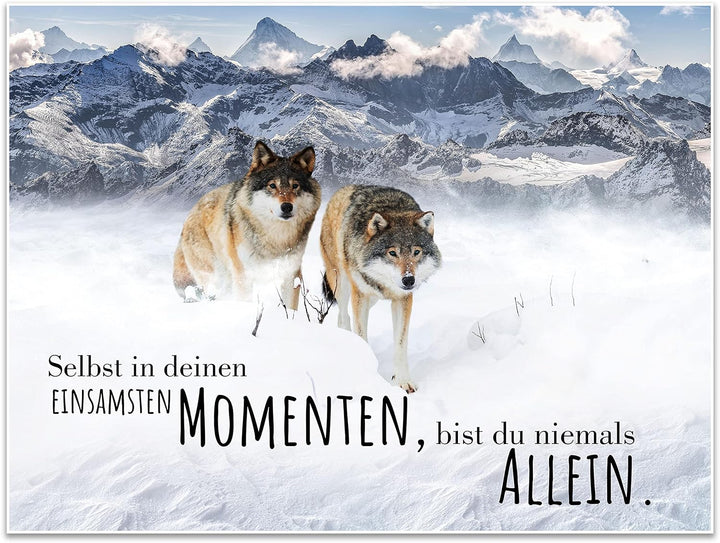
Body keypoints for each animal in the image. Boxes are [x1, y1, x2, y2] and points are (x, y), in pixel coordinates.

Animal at [173, 141, 321, 309]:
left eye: (295, 186)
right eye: (272, 185)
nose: (287, 207)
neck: (276, 238)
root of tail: (189, 214)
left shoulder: (291, 273)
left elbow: (290, 307)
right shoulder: (244, 275)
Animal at [320, 185, 441, 393]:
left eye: (416, 252)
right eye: (392, 253)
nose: (409, 280)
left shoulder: (402, 299)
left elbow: (401, 343)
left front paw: (402, 381)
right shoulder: (359, 295)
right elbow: (361, 333)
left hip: (371, 297)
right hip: (341, 284)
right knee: (343, 316)